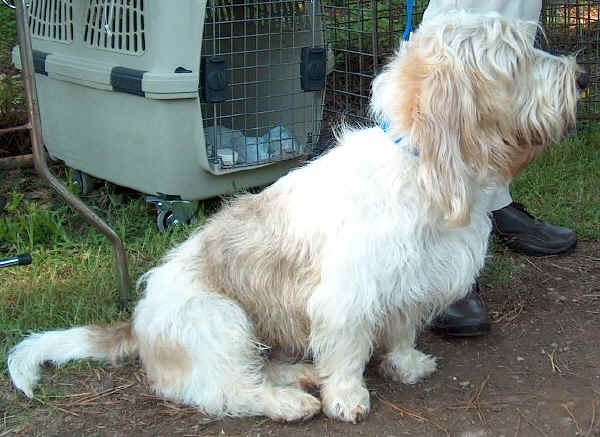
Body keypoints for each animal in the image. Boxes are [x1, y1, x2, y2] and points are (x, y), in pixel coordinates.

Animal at [7, 11, 584, 422]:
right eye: (516, 57)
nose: (578, 76)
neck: (416, 163)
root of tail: (138, 321)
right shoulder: (348, 295)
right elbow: (348, 350)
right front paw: (348, 398)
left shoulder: (410, 279)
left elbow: (400, 330)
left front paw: (406, 365)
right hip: (223, 320)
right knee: (228, 392)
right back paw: (290, 402)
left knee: (260, 370)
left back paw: (300, 375)